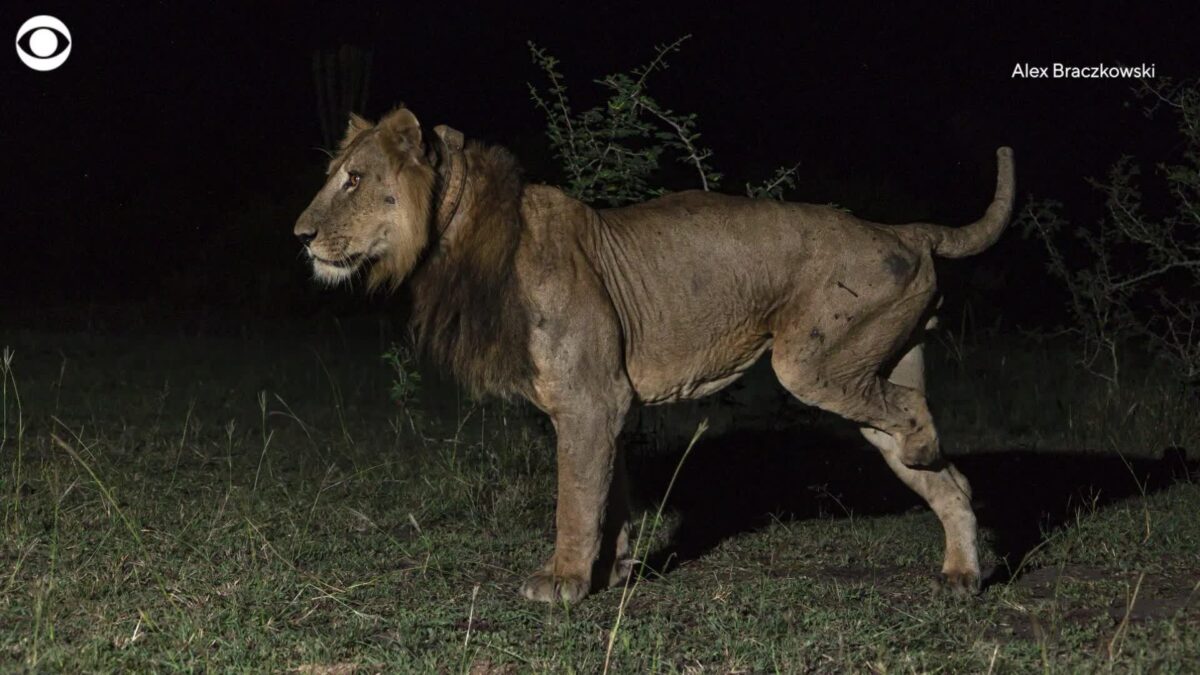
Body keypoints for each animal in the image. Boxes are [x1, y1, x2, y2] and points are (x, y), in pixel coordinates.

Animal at [292, 107, 1012, 600]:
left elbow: (575, 496)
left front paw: (562, 580)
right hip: (867, 367)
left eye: (354, 180)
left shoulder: (590, 398)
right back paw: (961, 573)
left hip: (812, 363)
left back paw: (927, 455)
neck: (459, 236)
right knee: (949, 476)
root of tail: (902, 229)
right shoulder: (606, 401)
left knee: (913, 414)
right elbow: (609, 492)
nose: (300, 235)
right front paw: (613, 568)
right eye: (333, 177)